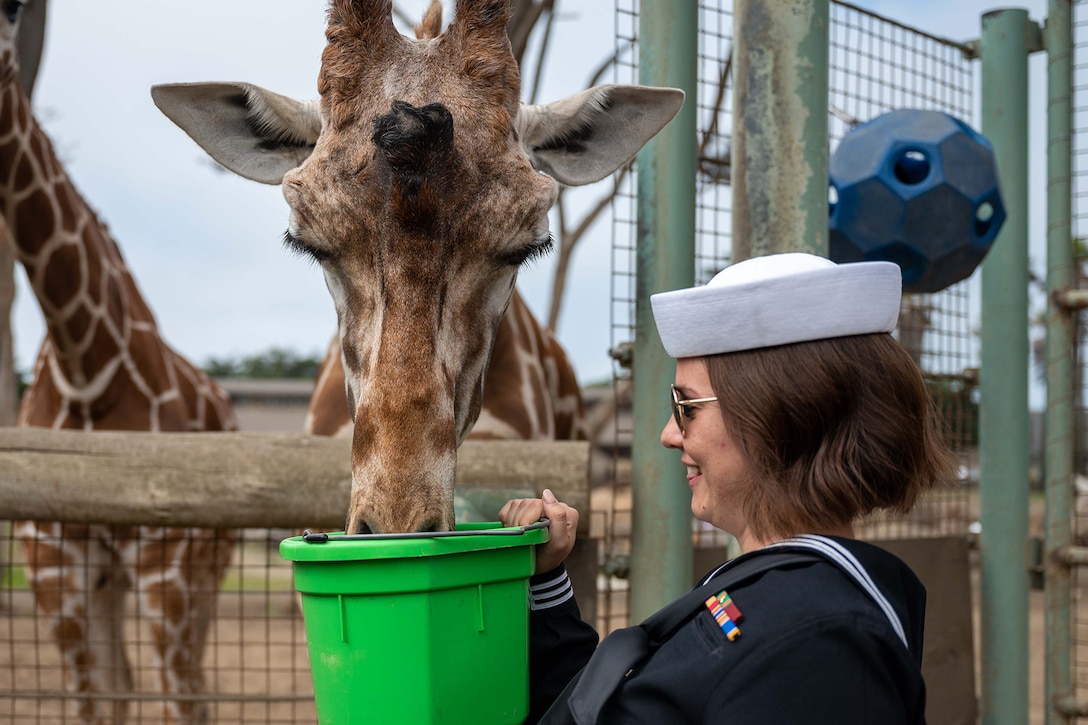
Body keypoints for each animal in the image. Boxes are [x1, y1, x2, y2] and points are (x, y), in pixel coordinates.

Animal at [0, 2, 238, 718]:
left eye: (12, 9)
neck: (86, 365)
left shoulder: (167, 564)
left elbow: (181, 701)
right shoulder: (56, 566)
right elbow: (96, 700)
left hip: (206, 571)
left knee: (194, 688)